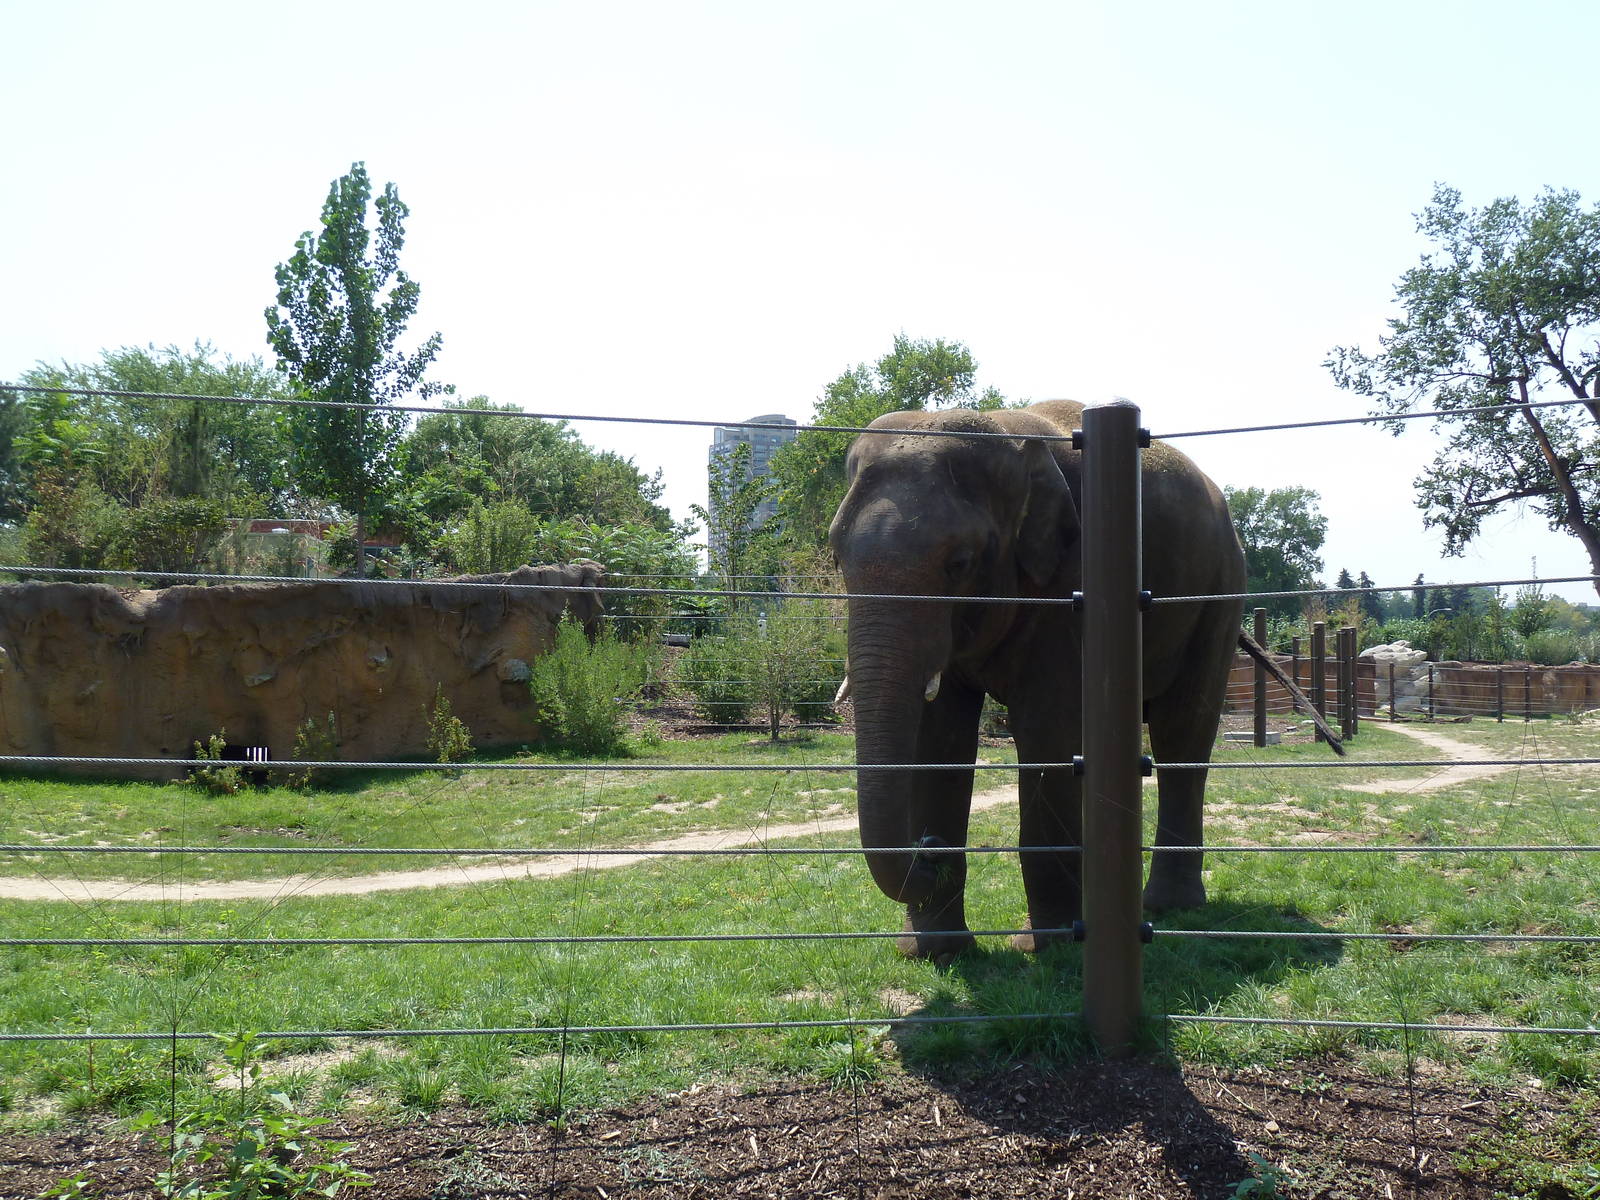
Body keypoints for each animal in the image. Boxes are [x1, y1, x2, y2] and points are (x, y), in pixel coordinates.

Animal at [827, 399, 1246, 959]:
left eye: (959, 563)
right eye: (836, 558)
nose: (927, 853)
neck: (1005, 434)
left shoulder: (1073, 578)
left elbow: (1048, 726)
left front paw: (1043, 946)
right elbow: (937, 736)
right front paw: (931, 951)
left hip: (1220, 592)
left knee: (1183, 729)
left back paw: (1166, 906)